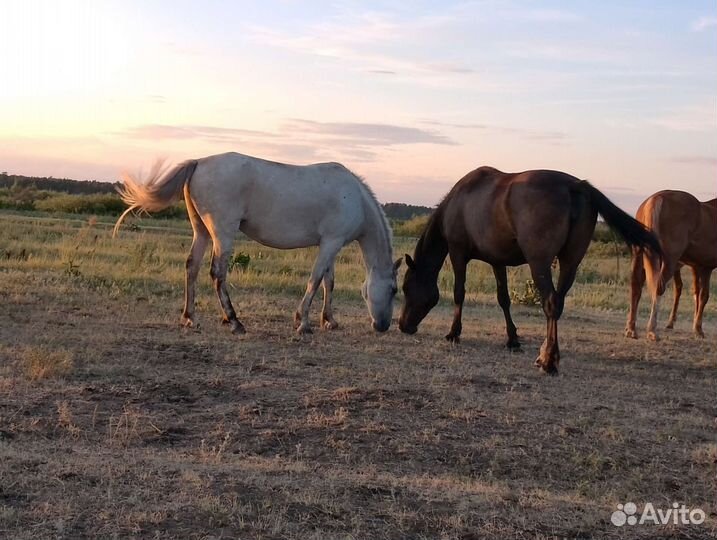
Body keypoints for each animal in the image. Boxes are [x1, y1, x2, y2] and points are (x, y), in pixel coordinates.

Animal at [113, 152, 402, 334]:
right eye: (394, 290)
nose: (383, 326)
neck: (355, 199)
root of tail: (199, 163)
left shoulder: (330, 244)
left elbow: (328, 282)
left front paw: (328, 320)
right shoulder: (331, 243)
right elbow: (315, 280)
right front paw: (303, 323)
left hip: (202, 232)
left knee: (191, 268)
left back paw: (190, 318)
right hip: (223, 233)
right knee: (217, 274)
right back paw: (234, 321)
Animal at [398, 166, 661, 375]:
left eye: (406, 287)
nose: (403, 326)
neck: (458, 201)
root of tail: (575, 187)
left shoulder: (457, 252)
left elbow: (458, 293)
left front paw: (454, 333)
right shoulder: (497, 261)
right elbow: (503, 298)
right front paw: (512, 339)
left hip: (539, 262)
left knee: (551, 302)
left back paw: (548, 361)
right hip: (570, 262)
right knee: (558, 302)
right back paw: (547, 354)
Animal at [625, 190, 716, 341]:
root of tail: (656, 198)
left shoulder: (696, 267)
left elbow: (697, 294)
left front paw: (696, 328)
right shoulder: (705, 267)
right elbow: (703, 296)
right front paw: (698, 330)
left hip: (639, 256)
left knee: (636, 286)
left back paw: (631, 329)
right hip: (669, 260)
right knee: (658, 287)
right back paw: (652, 330)